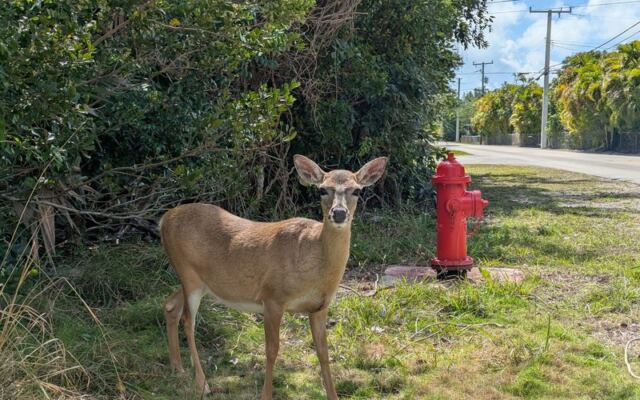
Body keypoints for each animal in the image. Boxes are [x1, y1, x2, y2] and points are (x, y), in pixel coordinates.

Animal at [159, 154, 388, 399]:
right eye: (322, 190)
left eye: (357, 191)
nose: (338, 213)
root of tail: (164, 219)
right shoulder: (272, 297)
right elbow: (272, 350)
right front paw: (266, 394)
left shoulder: (320, 307)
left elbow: (323, 352)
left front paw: (333, 395)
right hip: (188, 273)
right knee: (188, 321)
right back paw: (202, 383)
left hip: (198, 280)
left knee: (171, 305)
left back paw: (178, 368)